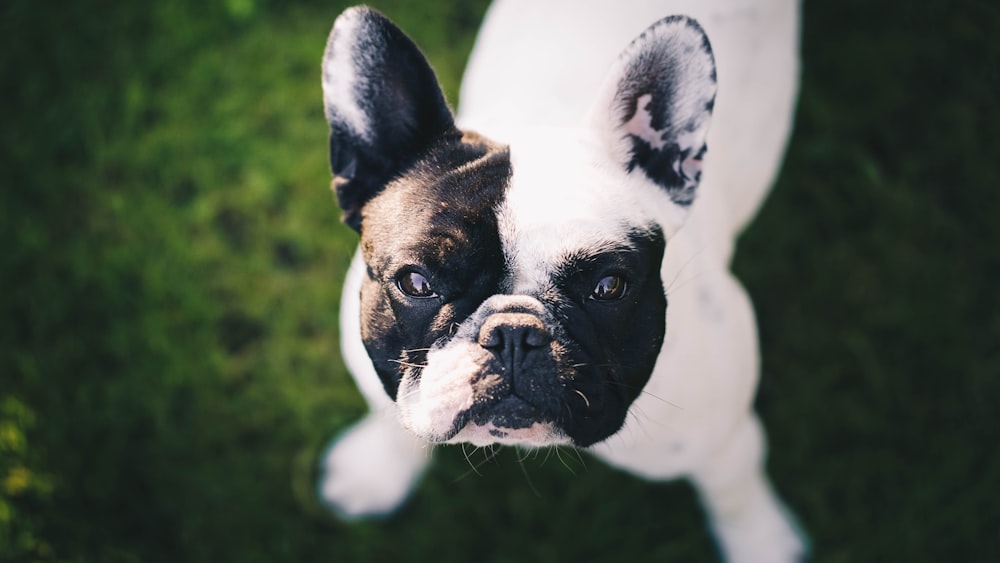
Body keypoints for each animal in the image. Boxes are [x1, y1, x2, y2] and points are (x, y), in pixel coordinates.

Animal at [320, 2, 804, 560]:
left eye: (609, 287)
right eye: (416, 282)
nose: (512, 333)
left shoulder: (722, 438)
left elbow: (736, 492)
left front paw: (762, 542)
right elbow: (390, 418)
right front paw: (376, 473)